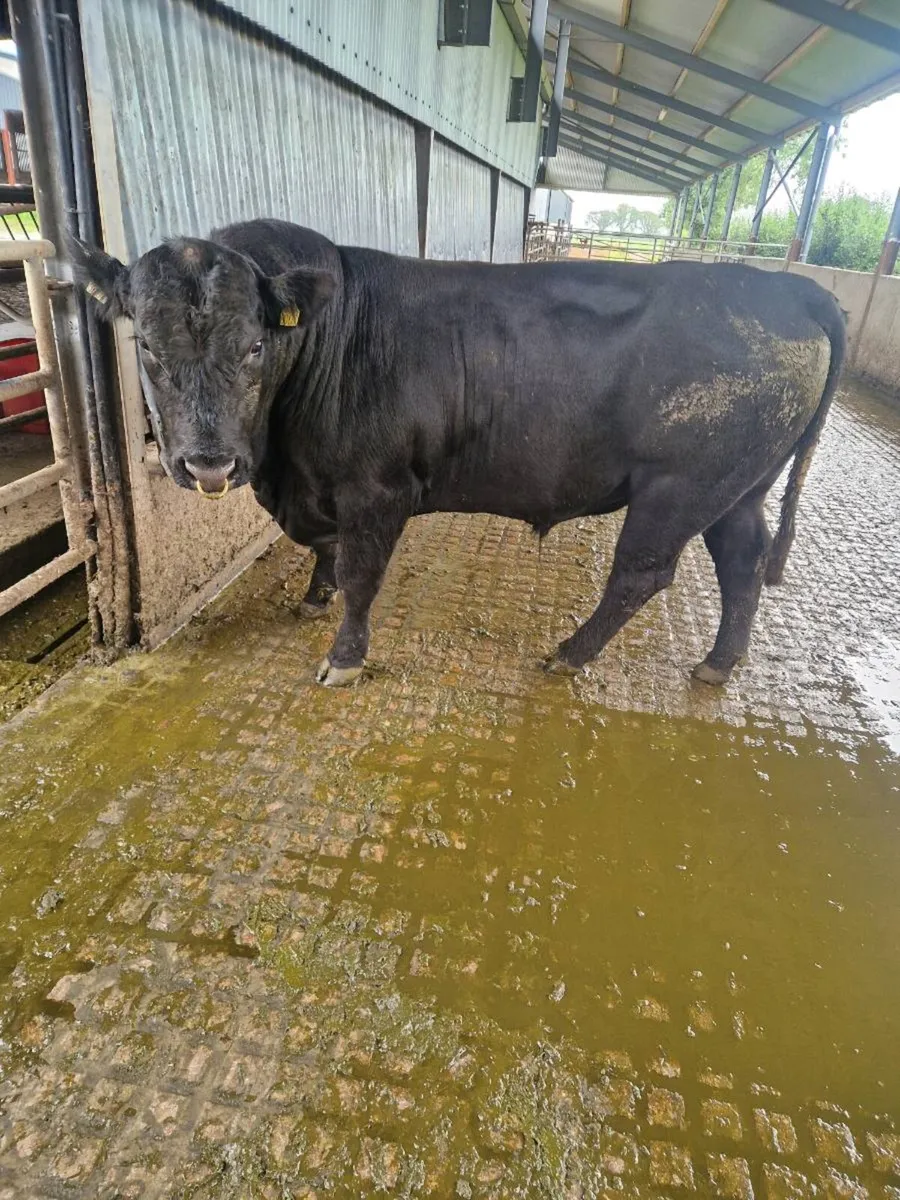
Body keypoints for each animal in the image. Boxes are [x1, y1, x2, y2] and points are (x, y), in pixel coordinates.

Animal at [72, 219, 845, 687]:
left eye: (256, 345)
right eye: (145, 346)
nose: (209, 464)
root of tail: (786, 286)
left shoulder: (378, 489)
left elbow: (361, 575)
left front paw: (344, 658)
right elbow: (323, 551)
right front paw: (314, 598)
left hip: (679, 486)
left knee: (642, 574)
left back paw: (569, 654)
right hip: (740, 486)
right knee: (743, 562)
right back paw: (718, 663)